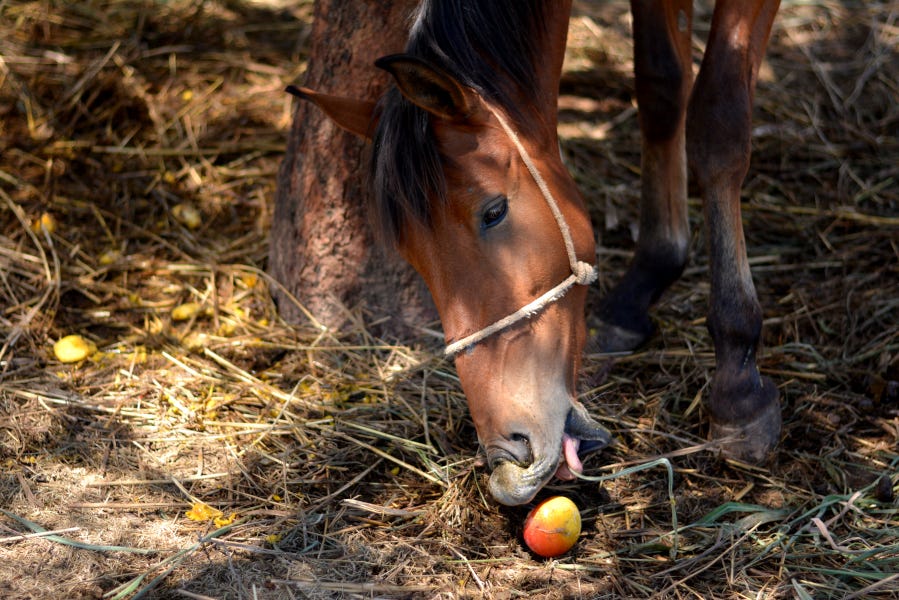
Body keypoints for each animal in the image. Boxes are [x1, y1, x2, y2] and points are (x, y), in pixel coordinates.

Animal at [286, 0, 780, 506]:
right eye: (410, 254)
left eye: (494, 212)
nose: (509, 453)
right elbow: (659, 89)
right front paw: (644, 282)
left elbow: (718, 124)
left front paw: (739, 384)